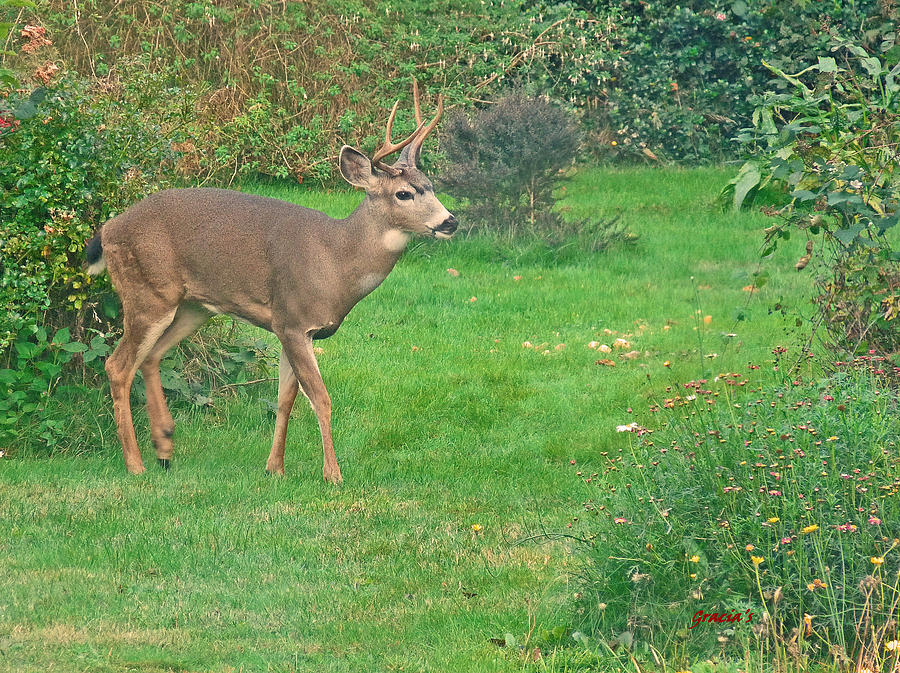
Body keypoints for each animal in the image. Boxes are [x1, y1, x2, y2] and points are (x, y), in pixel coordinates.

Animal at [84, 82, 458, 484]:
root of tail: (108, 230)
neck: (337, 260)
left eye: (430, 186)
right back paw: (135, 464)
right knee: (118, 365)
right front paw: (332, 474)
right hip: (147, 293)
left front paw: (274, 467)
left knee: (151, 356)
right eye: (403, 193)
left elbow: (285, 399)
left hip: (193, 307)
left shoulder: (297, 330)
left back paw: (165, 449)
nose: (450, 221)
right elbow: (321, 398)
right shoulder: (292, 319)